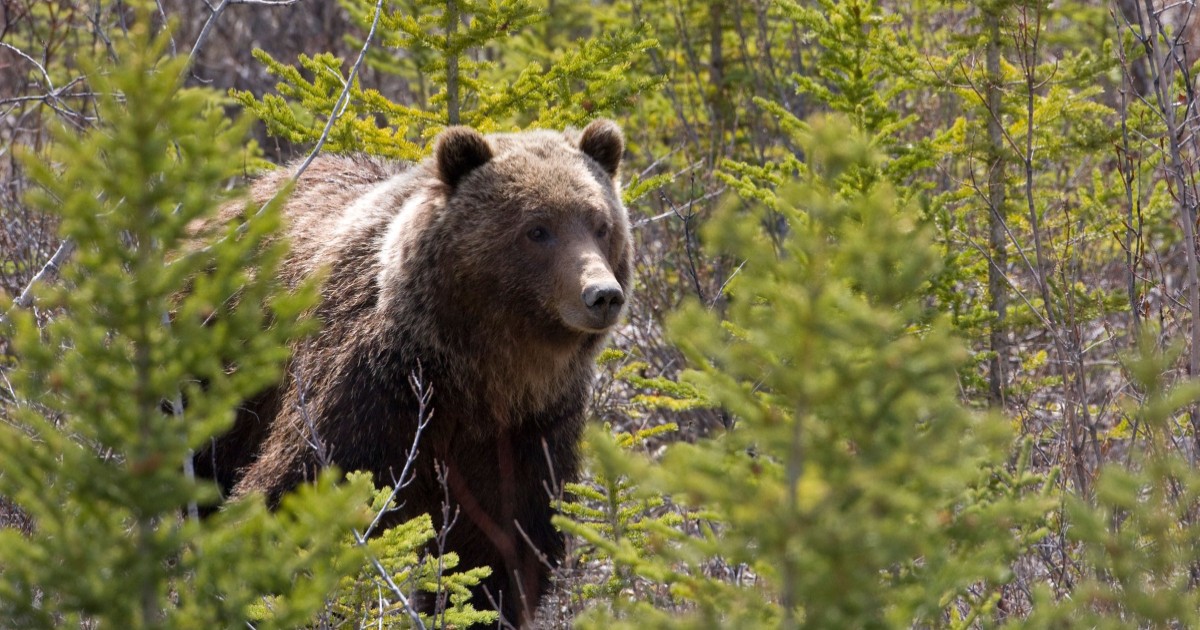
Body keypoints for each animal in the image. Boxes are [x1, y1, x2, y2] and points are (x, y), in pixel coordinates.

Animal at [192, 119, 632, 627]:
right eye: (537, 229)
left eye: (601, 225)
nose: (602, 294)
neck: (480, 376)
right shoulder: (373, 393)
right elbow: (291, 492)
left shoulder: (529, 430)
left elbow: (499, 552)